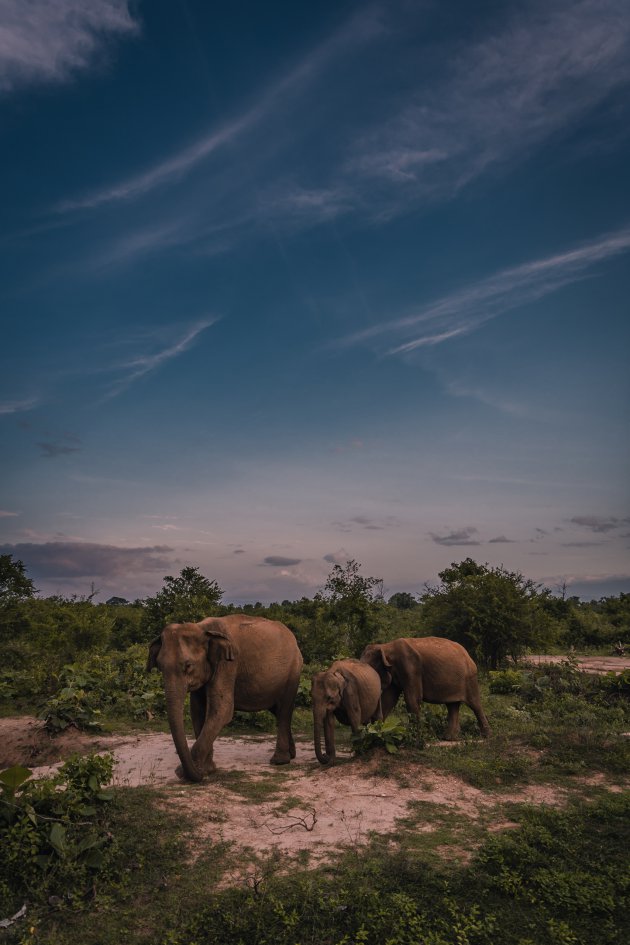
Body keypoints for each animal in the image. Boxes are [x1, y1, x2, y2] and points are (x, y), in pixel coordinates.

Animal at [149, 612, 304, 780]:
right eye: (159, 666)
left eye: (188, 666)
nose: (182, 771)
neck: (202, 628)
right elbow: (197, 712)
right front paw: (207, 770)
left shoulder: (228, 664)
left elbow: (221, 711)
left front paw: (187, 772)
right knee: (278, 711)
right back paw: (291, 755)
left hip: (293, 671)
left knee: (284, 711)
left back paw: (279, 761)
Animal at [360, 636, 494, 740]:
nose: (369, 725)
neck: (386, 646)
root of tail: (468, 655)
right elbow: (389, 699)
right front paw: (377, 733)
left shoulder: (411, 668)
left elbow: (412, 699)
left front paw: (416, 737)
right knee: (452, 705)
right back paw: (449, 738)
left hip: (470, 678)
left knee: (474, 704)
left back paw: (486, 736)